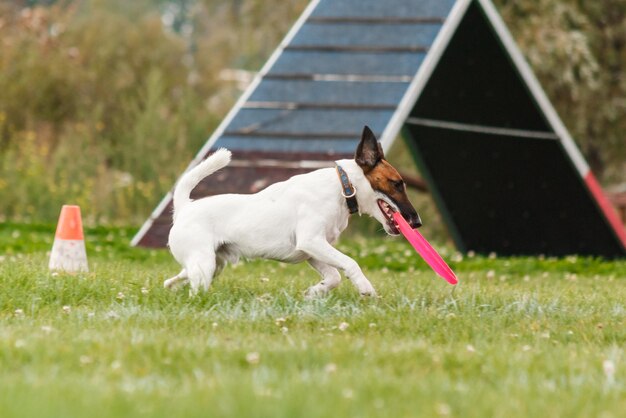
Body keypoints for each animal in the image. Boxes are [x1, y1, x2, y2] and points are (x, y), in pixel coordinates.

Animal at [163, 125, 422, 298]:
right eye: (397, 184)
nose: (417, 222)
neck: (343, 188)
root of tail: (185, 207)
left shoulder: (312, 251)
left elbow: (334, 277)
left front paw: (314, 293)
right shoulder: (311, 241)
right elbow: (350, 263)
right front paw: (365, 287)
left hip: (213, 264)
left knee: (180, 277)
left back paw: (170, 285)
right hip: (205, 264)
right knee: (195, 288)